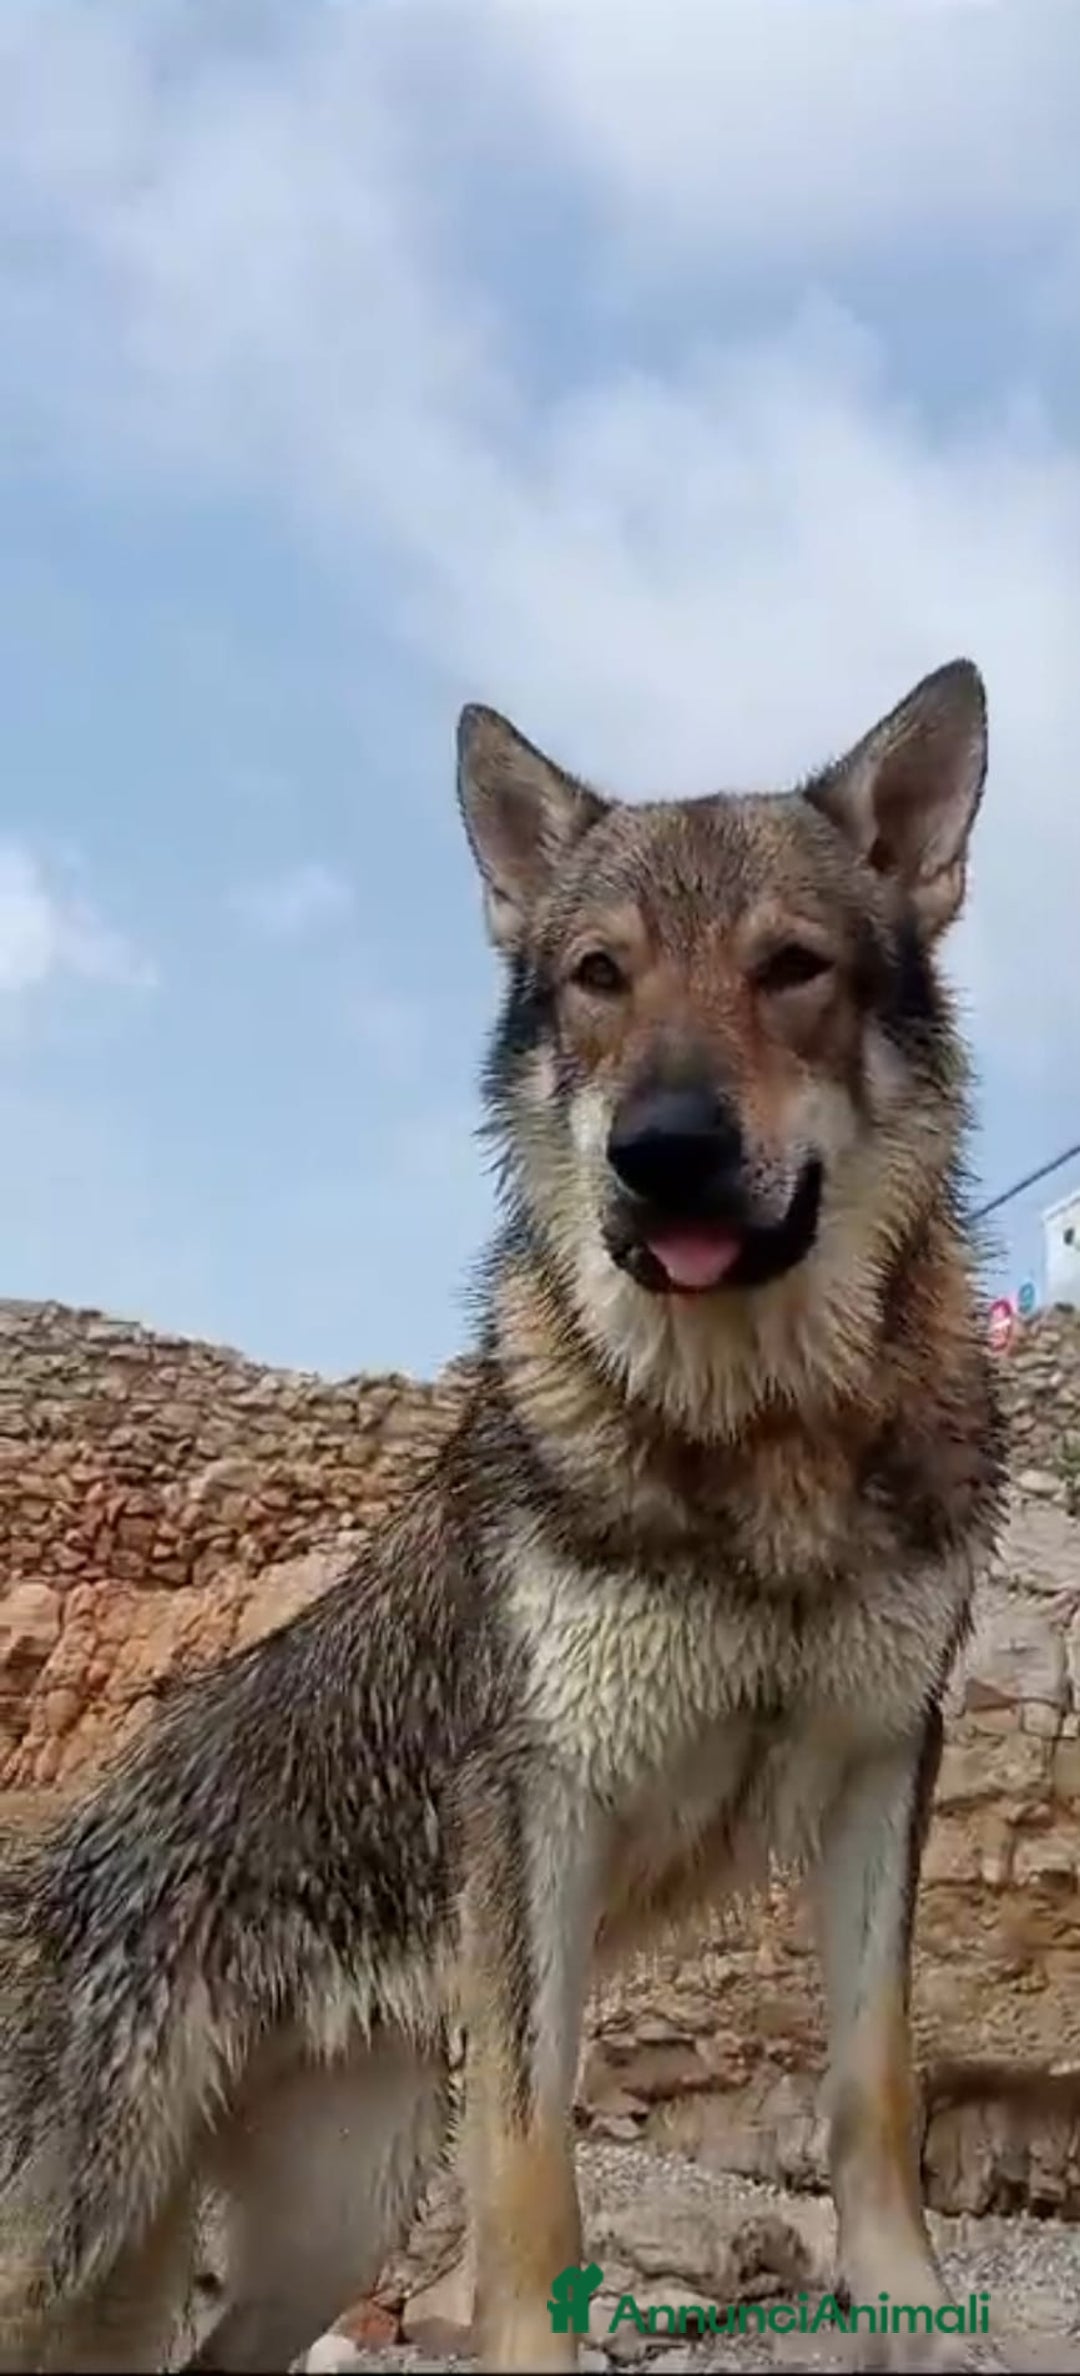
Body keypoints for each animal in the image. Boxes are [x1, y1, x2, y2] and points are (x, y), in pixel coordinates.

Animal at [0, 659, 1006, 2373]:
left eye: (790, 969)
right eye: (601, 979)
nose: (662, 1153)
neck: (754, 1445)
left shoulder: (882, 1762)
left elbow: (875, 2085)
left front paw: (914, 2318)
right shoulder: (545, 1809)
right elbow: (537, 2168)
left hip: (331, 2224)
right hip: (84, 2241)